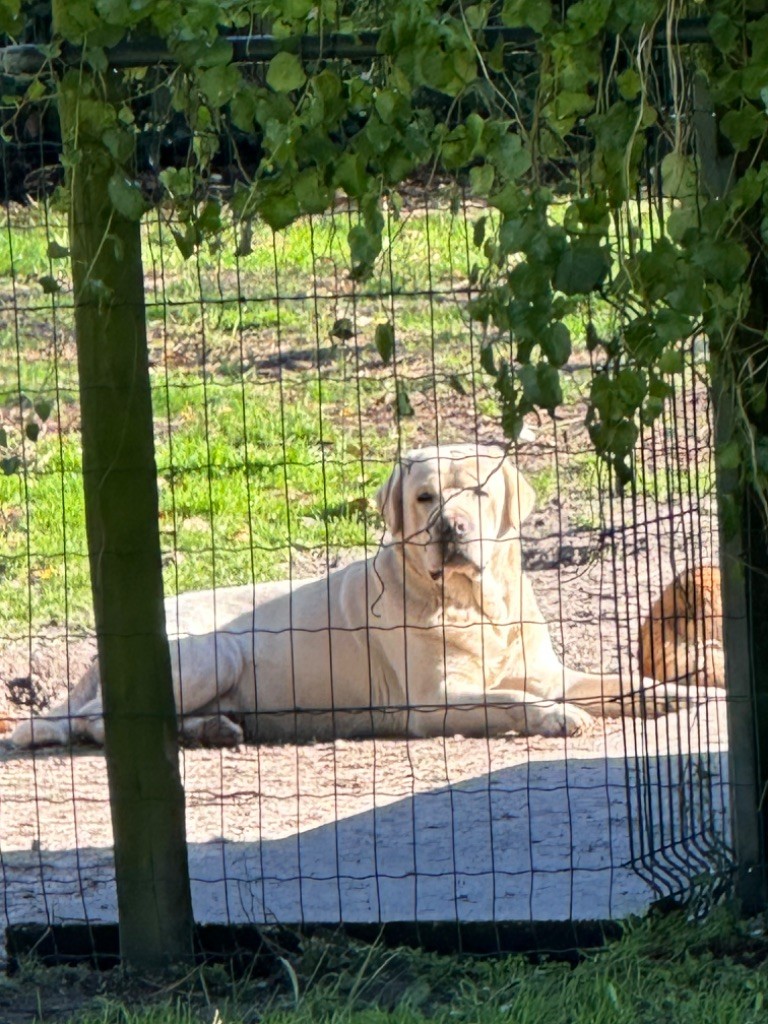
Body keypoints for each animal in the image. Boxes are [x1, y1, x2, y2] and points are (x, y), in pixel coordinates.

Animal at [10, 444, 692, 749]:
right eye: (424, 496)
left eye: (477, 491)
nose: (450, 528)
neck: (477, 606)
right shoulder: (434, 703)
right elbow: (510, 700)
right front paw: (555, 717)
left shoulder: (551, 671)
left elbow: (618, 682)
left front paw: (679, 692)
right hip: (214, 654)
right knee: (95, 720)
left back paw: (215, 728)